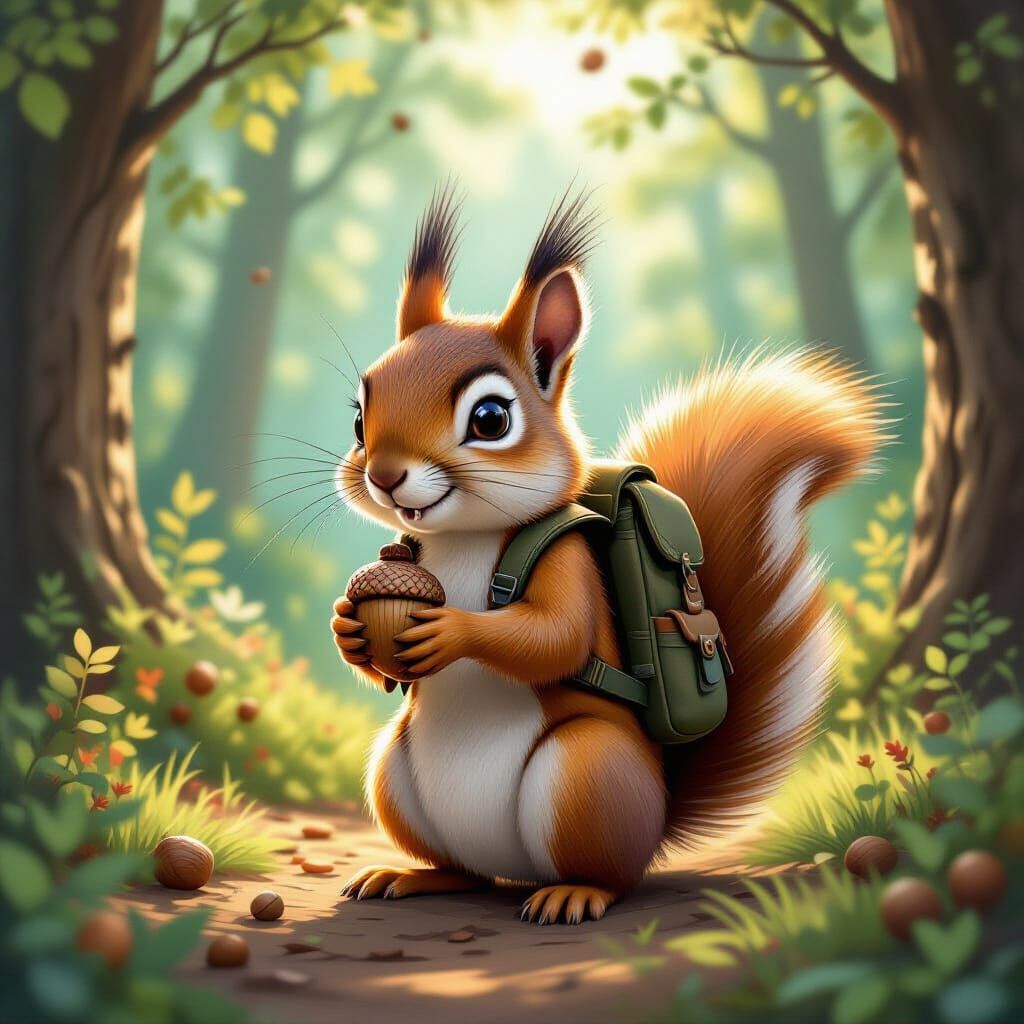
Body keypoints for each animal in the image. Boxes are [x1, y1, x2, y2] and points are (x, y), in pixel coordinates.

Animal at [331, 186, 886, 925]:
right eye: (359, 419)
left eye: (490, 420)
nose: (385, 476)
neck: (461, 540)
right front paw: (347, 626)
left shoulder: (567, 558)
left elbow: (556, 637)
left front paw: (452, 630)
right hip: (394, 774)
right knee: (464, 872)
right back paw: (414, 876)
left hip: (587, 773)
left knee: (613, 874)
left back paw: (574, 893)